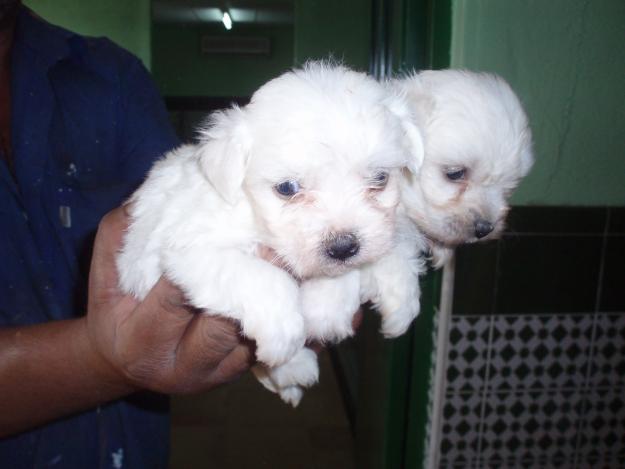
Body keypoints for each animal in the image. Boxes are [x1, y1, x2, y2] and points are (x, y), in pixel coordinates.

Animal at [116, 62, 420, 392]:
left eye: (380, 178)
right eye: (287, 188)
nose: (343, 247)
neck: (252, 211)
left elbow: (385, 255)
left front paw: (333, 308)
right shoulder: (190, 248)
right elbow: (263, 277)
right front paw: (283, 335)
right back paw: (294, 367)